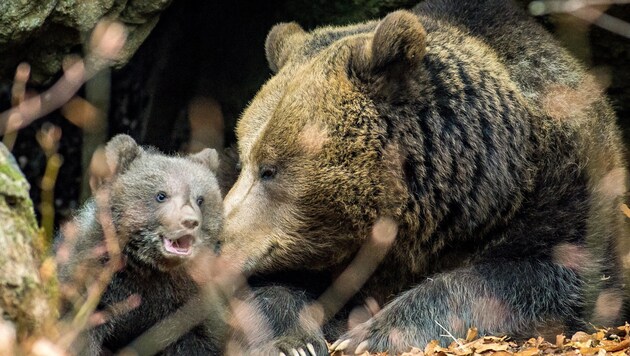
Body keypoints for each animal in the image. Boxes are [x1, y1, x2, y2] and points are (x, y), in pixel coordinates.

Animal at [220, 0, 628, 354]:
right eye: (244, 160)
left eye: (269, 169)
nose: (219, 241)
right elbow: (269, 292)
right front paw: (293, 340)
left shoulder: (562, 193)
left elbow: (549, 279)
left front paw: (369, 335)